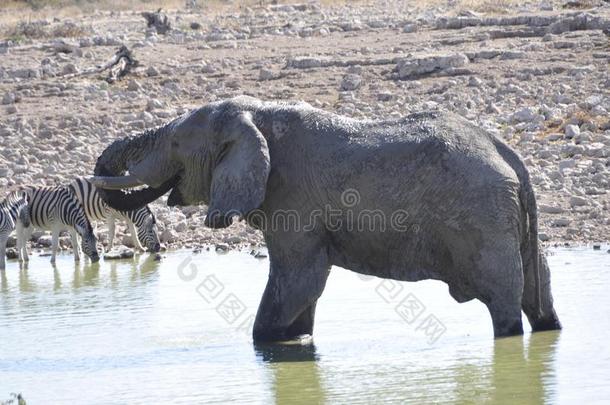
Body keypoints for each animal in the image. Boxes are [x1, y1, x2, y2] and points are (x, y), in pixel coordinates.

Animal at [91, 96, 560, 342]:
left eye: (174, 143)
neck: (257, 115)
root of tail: (509, 156)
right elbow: (304, 290)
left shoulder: (292, 198)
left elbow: (297, 279)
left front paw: (273, 346)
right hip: (506, 219)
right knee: (537, 290)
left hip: (483, 218)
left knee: (503, 301)